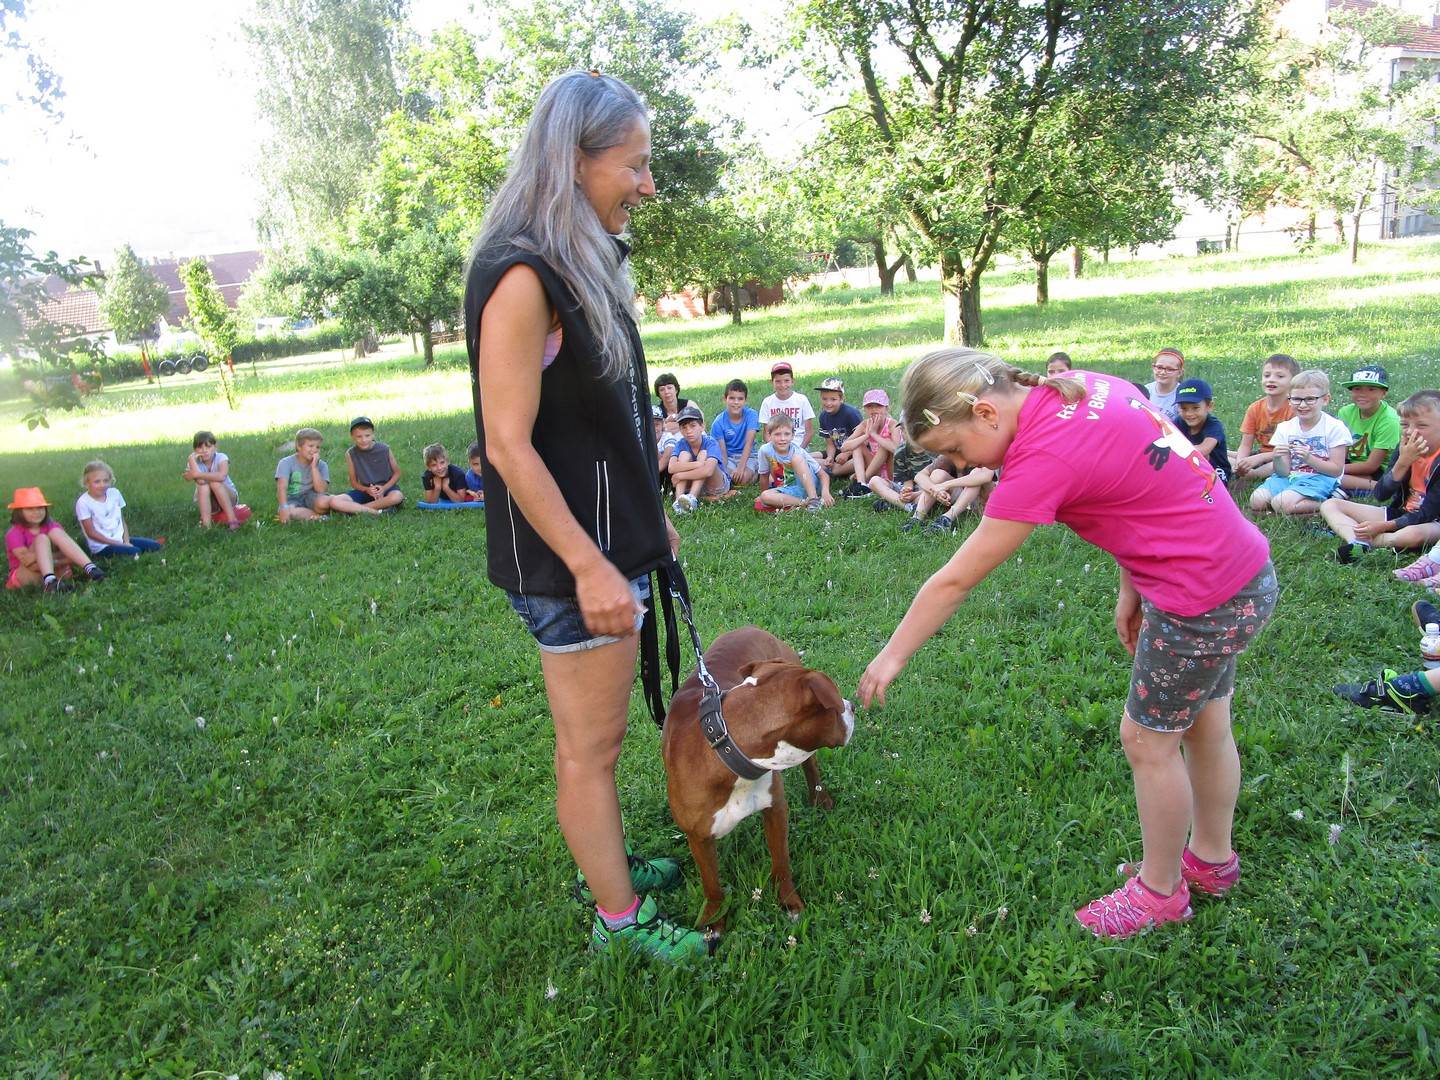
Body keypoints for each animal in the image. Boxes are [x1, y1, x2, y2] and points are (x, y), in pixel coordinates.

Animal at [661, 626, 854, 929]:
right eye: (837, 707)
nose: (853, 705)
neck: (727, 750)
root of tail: (751, 628)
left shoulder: (775, 809)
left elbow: (781, 861)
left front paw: (790, 903)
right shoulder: (698, 837)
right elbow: (711, 884)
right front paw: (714, 920)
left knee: (811, 766)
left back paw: (820, 798)